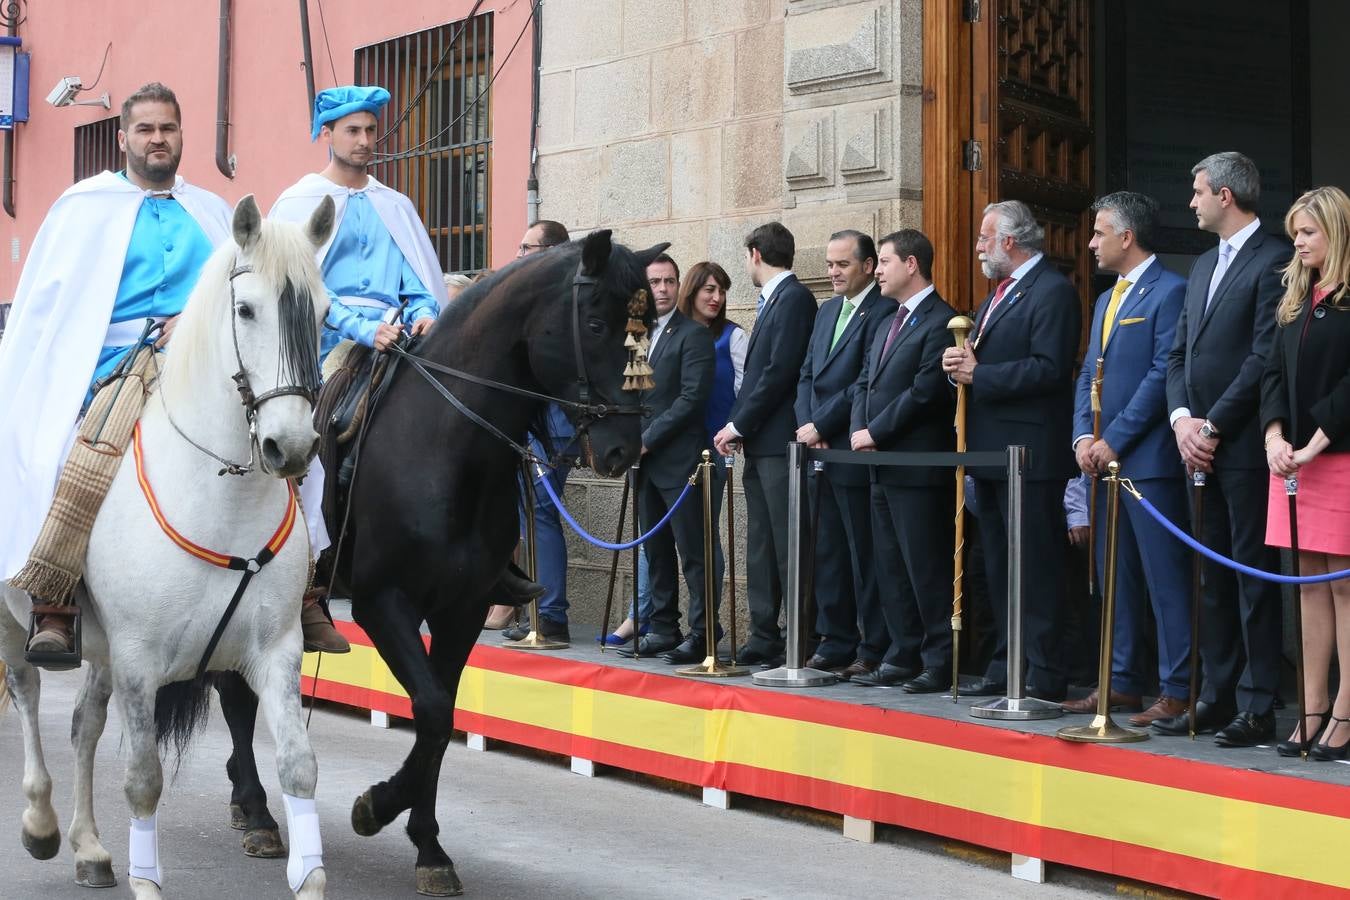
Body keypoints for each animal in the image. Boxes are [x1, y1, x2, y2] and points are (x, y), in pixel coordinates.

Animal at [0, 194, 334, 895]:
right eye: (246, 309)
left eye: (322, 314)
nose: (290, 447)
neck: (221, 497)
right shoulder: (138, 660)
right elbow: (143, 780)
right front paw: (147, 880)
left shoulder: (275, 652)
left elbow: (298, 765)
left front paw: (309, 875)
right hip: (15, 619)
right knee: (27, 690)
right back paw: (41, 823)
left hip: (99, 651)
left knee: (83, 724)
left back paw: (90, 847)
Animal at [214, 229, 669, 890]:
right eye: (595, 322)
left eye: (650, 323)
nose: (622, 450)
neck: (447, 445)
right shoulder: (384, 604)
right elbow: (429, 712)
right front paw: (375, 806)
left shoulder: (464, 609)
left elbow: (444, 718)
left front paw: (428, 846)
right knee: (233, 690)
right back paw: (254, 812)